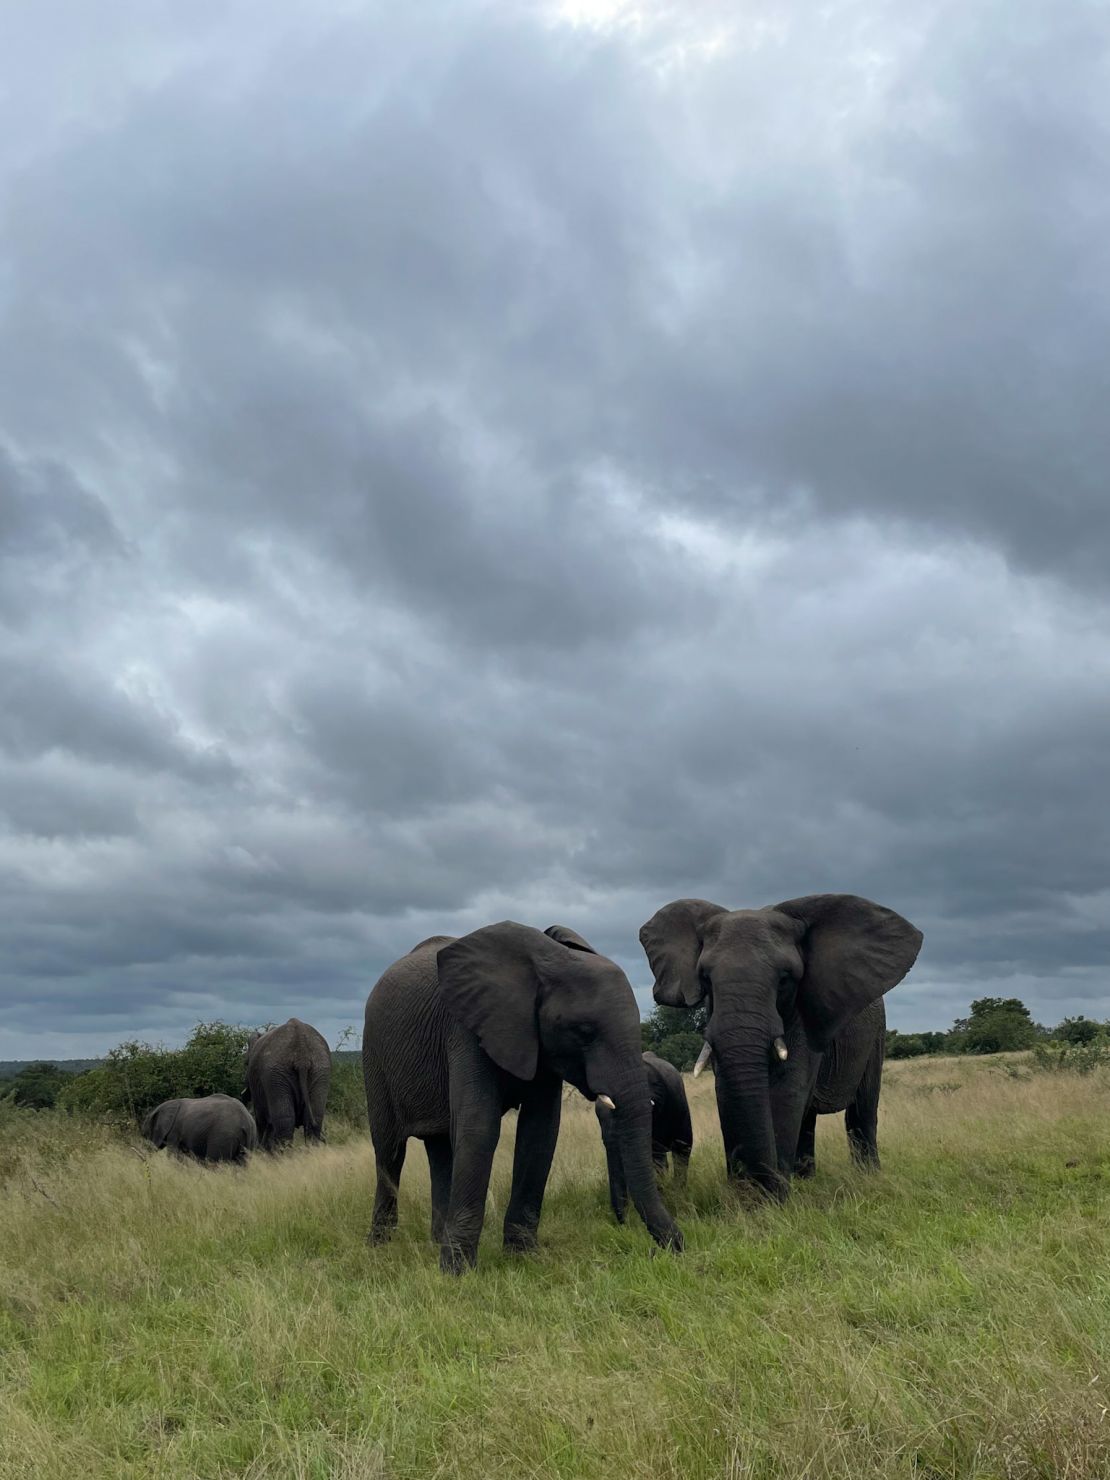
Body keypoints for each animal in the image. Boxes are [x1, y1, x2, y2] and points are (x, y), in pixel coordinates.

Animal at [242, 1018, 330, 1154]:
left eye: (246, 1063)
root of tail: (302, 1057)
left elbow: (261, 1120)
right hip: (320, 1070)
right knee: (314, 1119)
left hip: (276, 1075)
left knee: (284, 1121)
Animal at [639, 888, 923, 1201]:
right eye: (705, 979)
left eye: (785, 979)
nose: (751, 1185)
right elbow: (726, 1090)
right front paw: (748, 1198)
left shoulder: (802, 1012)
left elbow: (787, 1089)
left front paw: (772, 1199)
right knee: (808, 1118)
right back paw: (806, 1179)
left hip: (876, 1034)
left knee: (863, 1110)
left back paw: (866, 1176)